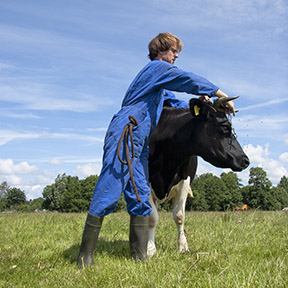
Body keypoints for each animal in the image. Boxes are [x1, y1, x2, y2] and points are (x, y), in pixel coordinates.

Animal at [147, 97, 249, 256]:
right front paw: (150, 249)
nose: (245, 160)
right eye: (225, 127)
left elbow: (179, 217)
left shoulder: (185, 180)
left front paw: (183, 247)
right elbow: (152, 217)